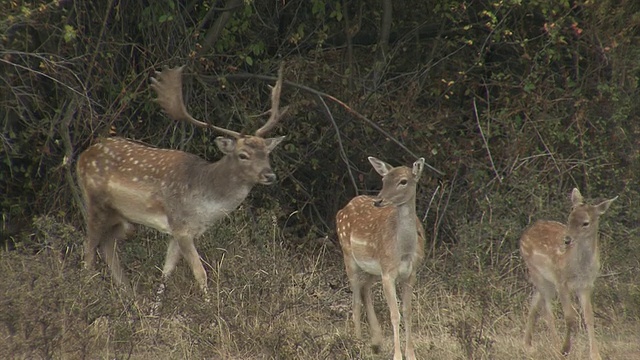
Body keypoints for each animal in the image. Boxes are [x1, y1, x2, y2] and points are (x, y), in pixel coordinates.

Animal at [77, 64, 288, 298]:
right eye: (243, 155)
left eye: (267, 153)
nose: (269, 175)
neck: (204, 203)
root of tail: (82, 156)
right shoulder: (181, 226)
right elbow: (200, 272)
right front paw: (211, 303)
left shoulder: (182, 232)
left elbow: (166, 272)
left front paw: (155, 305)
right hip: (94, 202)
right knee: (88, 251)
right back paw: (88, 291)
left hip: (123, 218)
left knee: (107, 245)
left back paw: (131, 295)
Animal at [336, 156, 424, 360]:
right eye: (384, 180)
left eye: (403, 181)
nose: (378, 200)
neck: (403, 250)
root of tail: (342, 210)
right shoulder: (388, 272)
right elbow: (395, 314)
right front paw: (397, 355)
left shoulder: (411, 274)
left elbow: (407, 311)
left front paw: (411, 354)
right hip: (348, 255)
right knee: (355, 301)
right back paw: (358, 341)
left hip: (372, 269)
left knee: (365, 289)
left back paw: (376, 341)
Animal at [520, 188, 620, 360]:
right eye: (569, 217)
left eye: (585, 223)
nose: (566, 240)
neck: (579, 268)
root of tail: (524, 235)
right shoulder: (561, 282)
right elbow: (570, 317)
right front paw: (565, 349)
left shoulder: (586, 285)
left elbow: (589, 316)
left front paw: (595, 354)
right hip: (537, 273)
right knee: (547, 312)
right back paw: (554, 347)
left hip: (546, 281)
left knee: (534, 303)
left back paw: (528, 345)